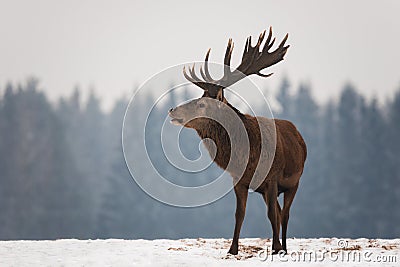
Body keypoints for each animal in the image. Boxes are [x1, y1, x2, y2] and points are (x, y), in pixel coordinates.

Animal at [168, 27, 306, 255]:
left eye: (202, 105)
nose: (172, 110)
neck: (248, 155)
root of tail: (299, 135)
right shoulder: (239, 180)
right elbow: (239, 214)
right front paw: (232, 249)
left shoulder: (272, 178)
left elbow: (272, 215)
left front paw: (276, 247)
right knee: (279, 212)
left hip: (295, 182)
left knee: (284, 214)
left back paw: (284, 247)